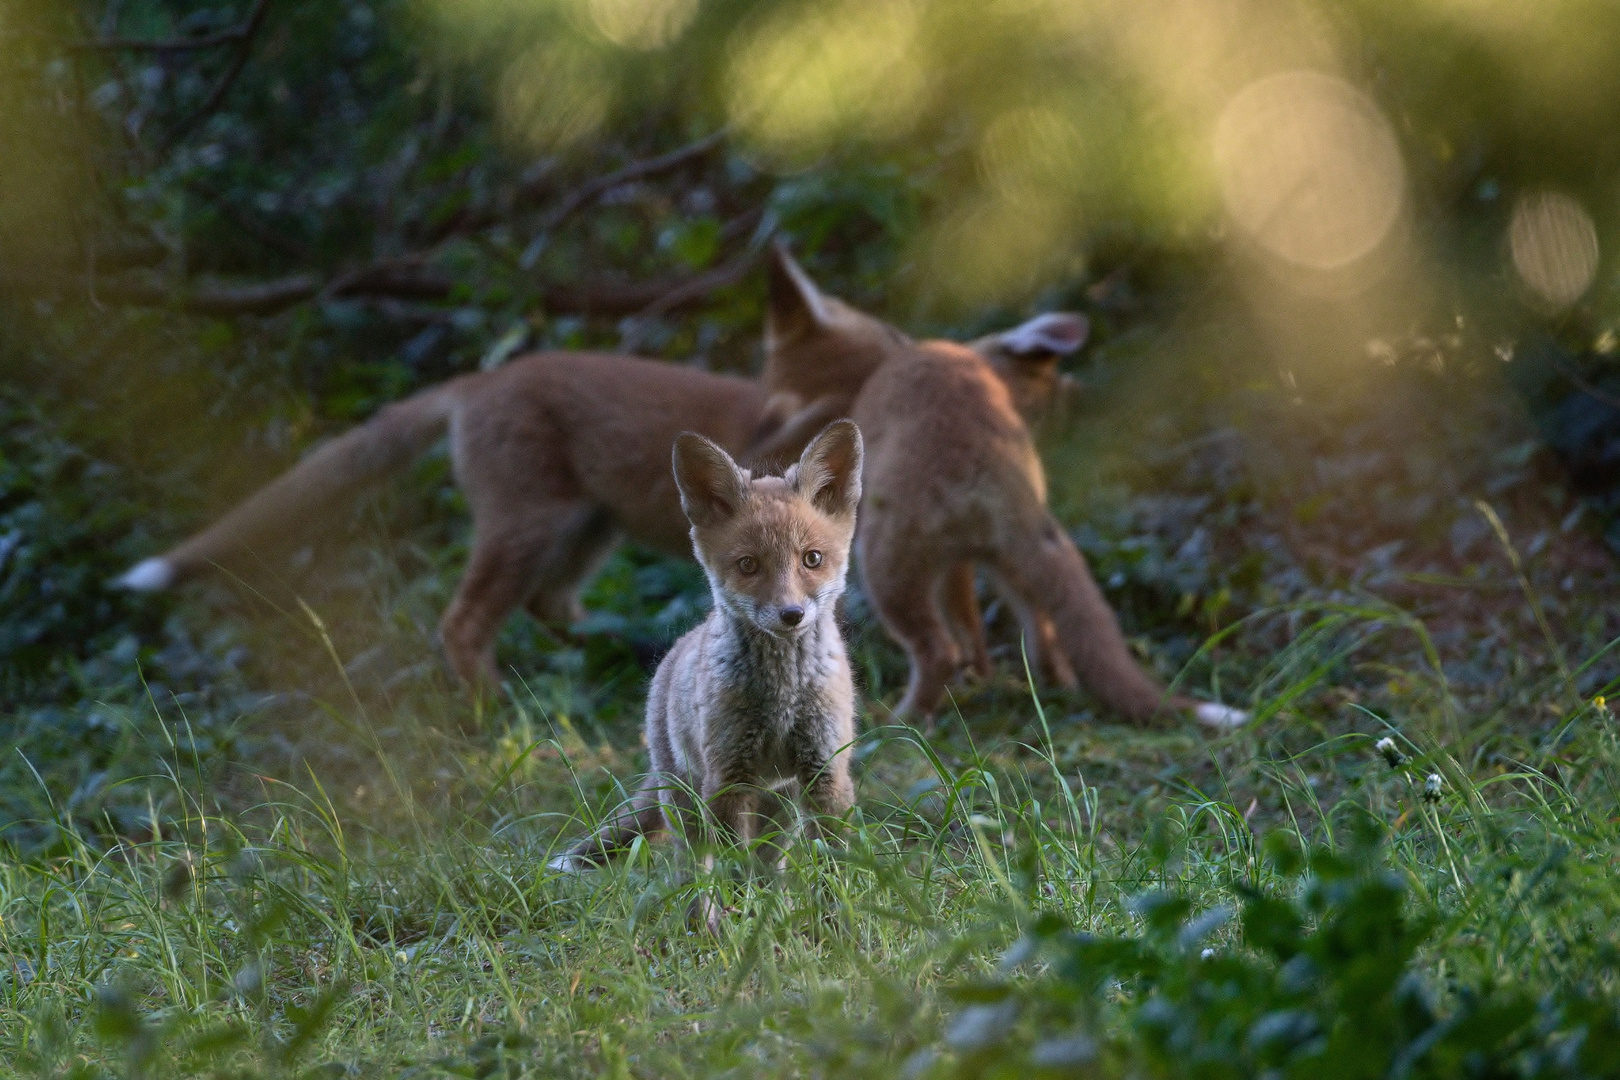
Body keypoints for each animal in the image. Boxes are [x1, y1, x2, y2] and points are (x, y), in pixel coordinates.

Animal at [550, 420, 868, 887]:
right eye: (749, 565)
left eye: (812, 559)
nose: (791, 614)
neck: (783, 697)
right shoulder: (727, 778)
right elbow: (735, 872)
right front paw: (743, 908)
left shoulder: (825, 772)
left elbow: (832, 866)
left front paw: (834, 907)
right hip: (687, 801)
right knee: (695, 869)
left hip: (781, 807)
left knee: (769, 862)